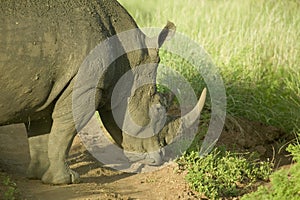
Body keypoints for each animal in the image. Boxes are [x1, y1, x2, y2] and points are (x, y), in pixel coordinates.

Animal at [0, 0, 206, 184]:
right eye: (157, 109)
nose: (161, 158)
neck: (129, 60)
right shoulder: (86, 85)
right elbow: (65, 130)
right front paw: (65, 180)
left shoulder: (45, 89)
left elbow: (42, 131)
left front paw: (40, 175)